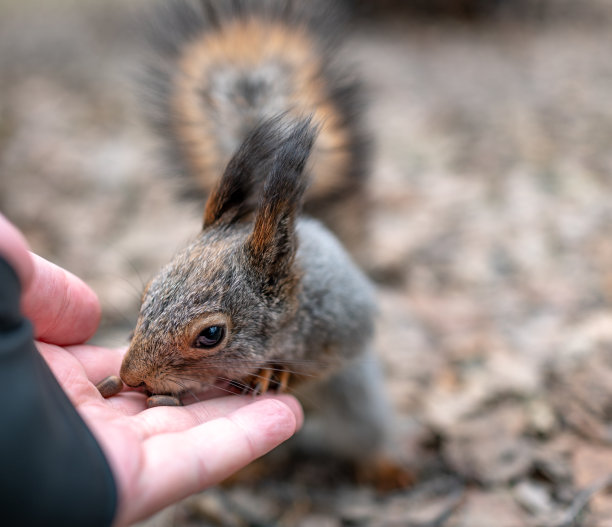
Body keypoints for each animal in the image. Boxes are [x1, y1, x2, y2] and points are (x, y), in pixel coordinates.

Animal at [108, 0, 400, 470]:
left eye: (211, 335)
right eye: (146, 292)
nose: (130, 377)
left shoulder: (339, 326)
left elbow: (318, 366)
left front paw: (272, 372)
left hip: (355, 398)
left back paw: (384, 467)